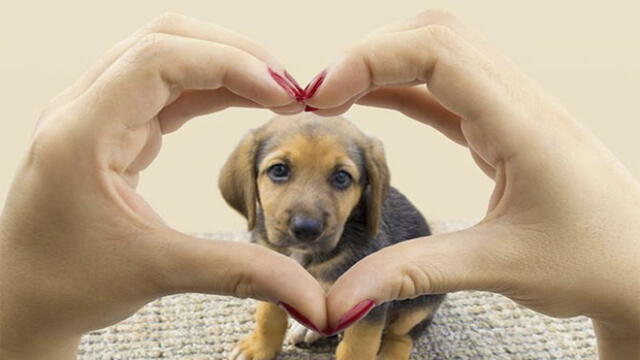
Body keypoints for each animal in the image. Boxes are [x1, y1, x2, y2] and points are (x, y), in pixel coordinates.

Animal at [220, 113, 444, 360]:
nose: (306, 229)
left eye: (342, 177)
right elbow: (268, 317)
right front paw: (258, 347)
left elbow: (356, 347)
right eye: (278, 170)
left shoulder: (367, 303)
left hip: (417, 305)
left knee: (401, 336)